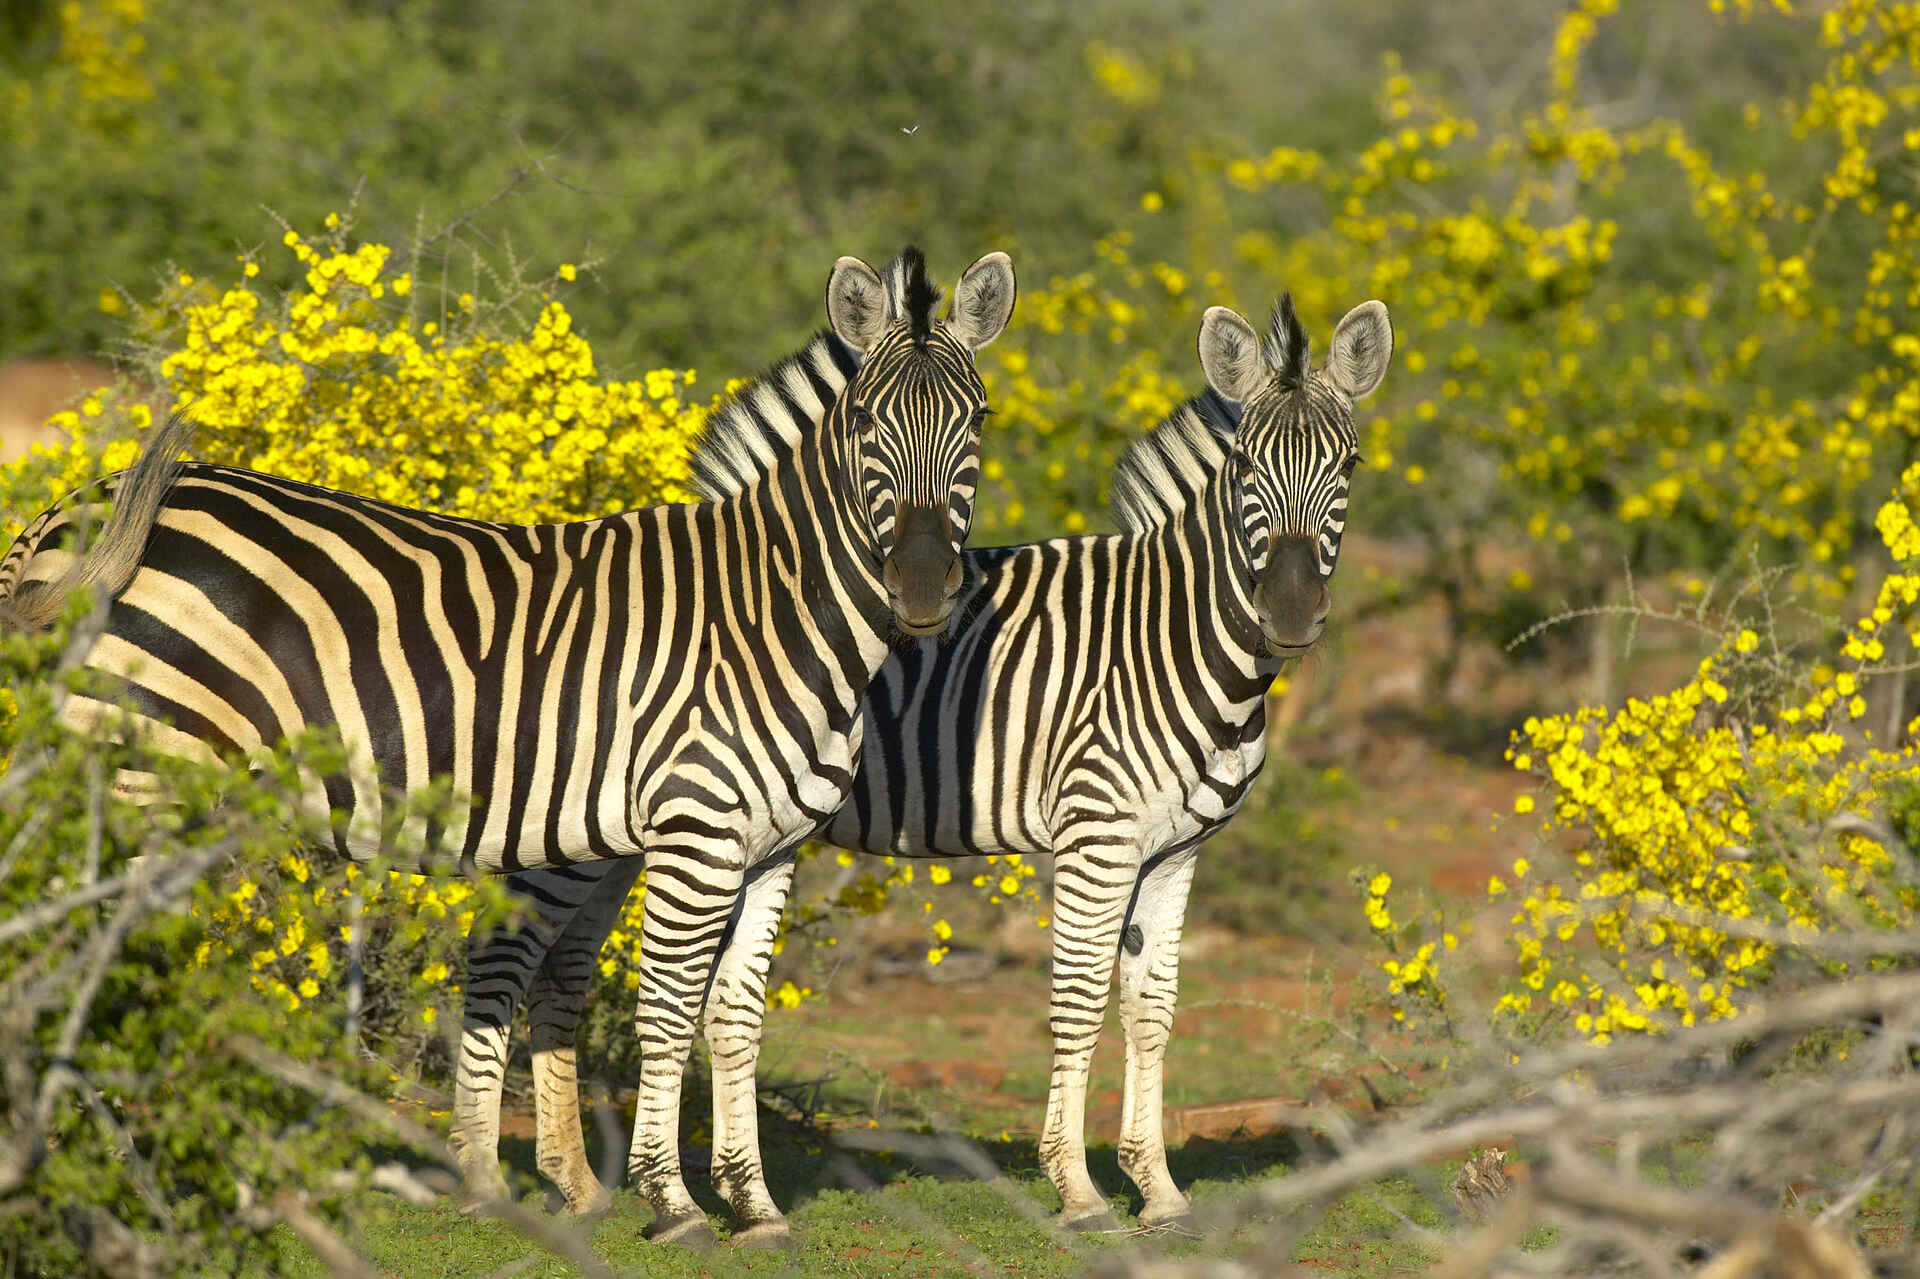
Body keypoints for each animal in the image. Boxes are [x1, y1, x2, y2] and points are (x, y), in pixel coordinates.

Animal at [0, 245, 1018, 1248]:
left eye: (976, 419)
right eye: (866, 423)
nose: (922, 585)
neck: (772, 610)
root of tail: (65, 509)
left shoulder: (774, 847)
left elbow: (733, 1017)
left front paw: (754, 1204)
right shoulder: (695, 830)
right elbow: (667, 1007)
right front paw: (672, 1200)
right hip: (134, 774)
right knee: (75, 956)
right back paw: (104, 1172)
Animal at [453, 292, 1392, 1231]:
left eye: (1348, 464)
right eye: (1246, 467)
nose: (1290, 611)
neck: (1169, 640)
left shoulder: (1175, 850)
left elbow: (1151, 1010)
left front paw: (1156, 1188)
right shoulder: (1097, 836)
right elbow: (1080, 1001)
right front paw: (1077, 1187)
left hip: (620, 830)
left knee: (562, 975)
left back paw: (575, 1182)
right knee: (503, 958)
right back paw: (484, 1177)